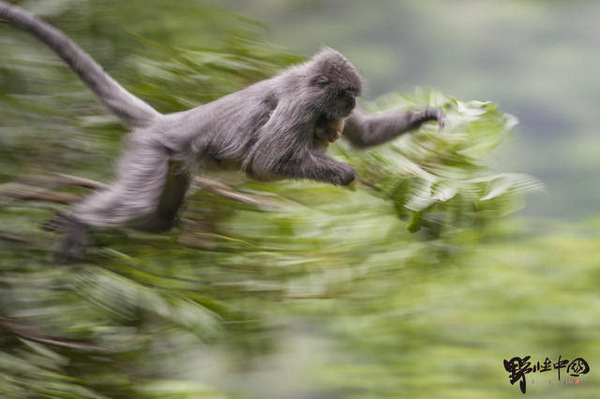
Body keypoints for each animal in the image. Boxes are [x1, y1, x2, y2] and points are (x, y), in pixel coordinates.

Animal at [1, 2, 446, 260]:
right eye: (346, 96)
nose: (348, 108)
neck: (304, 81)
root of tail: (169, 122)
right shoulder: (304, 104)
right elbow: (263, 162)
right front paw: (345, 174)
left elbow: (362, 135)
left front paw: (425, 115)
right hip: (151, 151)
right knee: (139, 203)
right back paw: (80, 220)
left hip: (172, 164)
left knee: (157, 218)